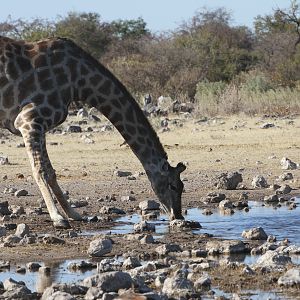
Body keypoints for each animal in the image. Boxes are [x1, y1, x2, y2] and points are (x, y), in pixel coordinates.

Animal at [0, 35, 186, 227]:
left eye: (182, 187)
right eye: (173, 185)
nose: (178, 215)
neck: (79, 81)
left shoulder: (39, 125)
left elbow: (51, 171)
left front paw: (73, 213)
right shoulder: (29, 120)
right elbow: (40, 170)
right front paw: (57, 218)